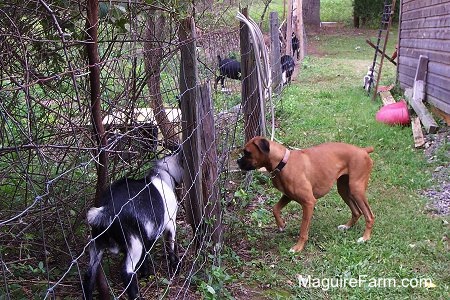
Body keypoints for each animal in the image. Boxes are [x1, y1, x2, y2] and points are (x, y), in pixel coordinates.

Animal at [82, 152, 183, 300]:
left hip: (97, 243)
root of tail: (106, 209)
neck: (162, 176)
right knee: (126, 271)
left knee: (89, 274)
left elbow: (146, 255)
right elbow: (171, 246)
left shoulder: (147, 234)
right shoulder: (170, 224)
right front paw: (175, 267)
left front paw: (145, 274)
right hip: (134, 244)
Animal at [237, 137, 374, 253]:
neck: (283, 162)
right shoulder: (288, 196)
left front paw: (298, 248)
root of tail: (362, 150)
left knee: (369, 215)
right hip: (344, 190)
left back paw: (365, 238)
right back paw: (347, 227)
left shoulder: (308, 203)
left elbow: (303, 229)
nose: (237, 161)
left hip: (356, 190)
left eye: (247, 152)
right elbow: (275, 208)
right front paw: (281, 225)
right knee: (357, 212)